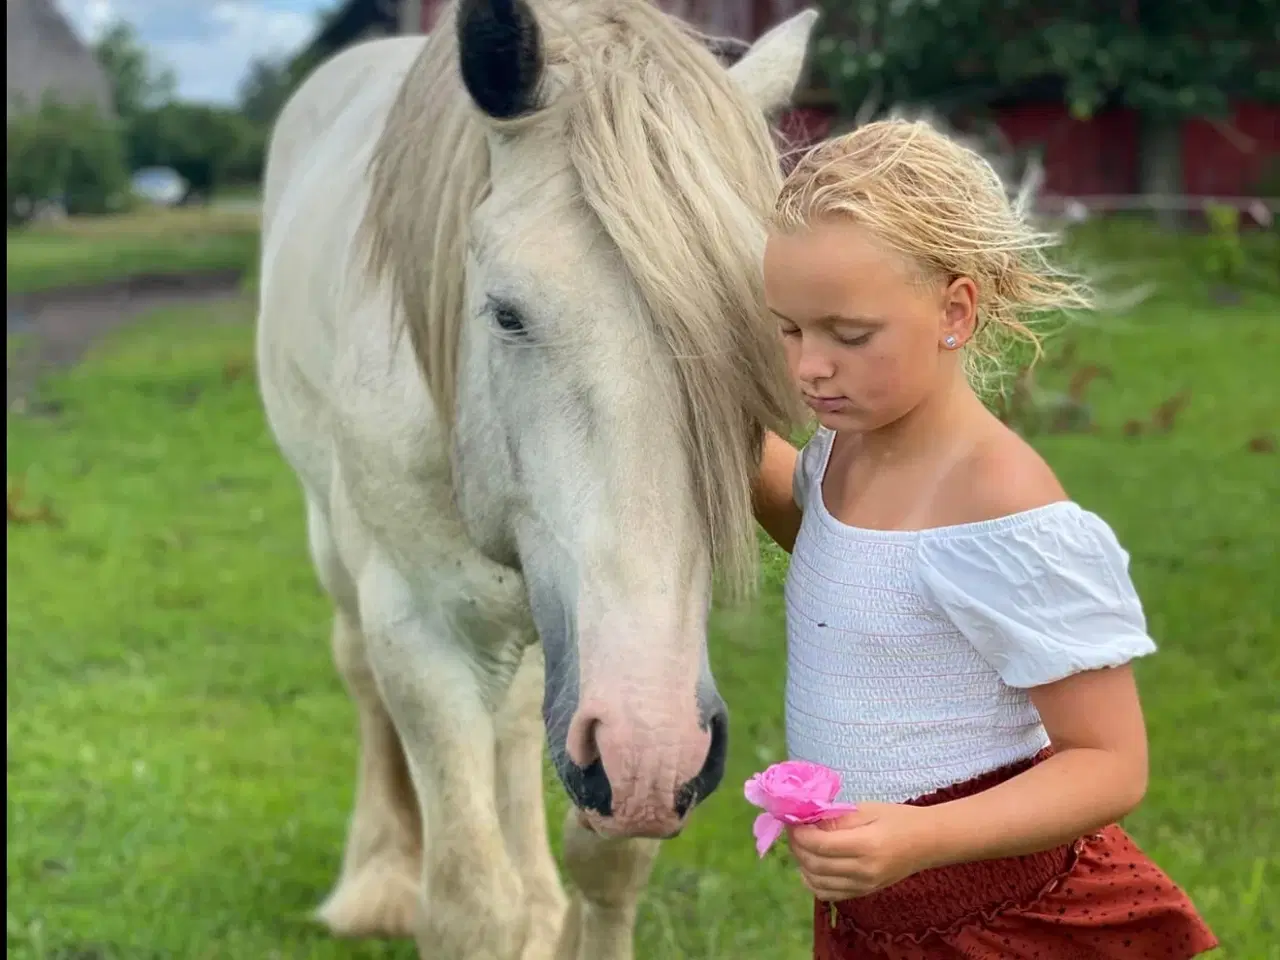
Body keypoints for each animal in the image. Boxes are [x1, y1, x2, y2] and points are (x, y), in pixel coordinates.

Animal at [258, 0, 814, 957]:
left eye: (761, 326)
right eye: (507, 313)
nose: (649, 753)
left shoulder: (640, 669)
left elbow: (610, 861)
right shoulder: (422, 637)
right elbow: (470, 905)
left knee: (517, 726)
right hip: (334, 543)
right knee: (359, 676)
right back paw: (376, 879)